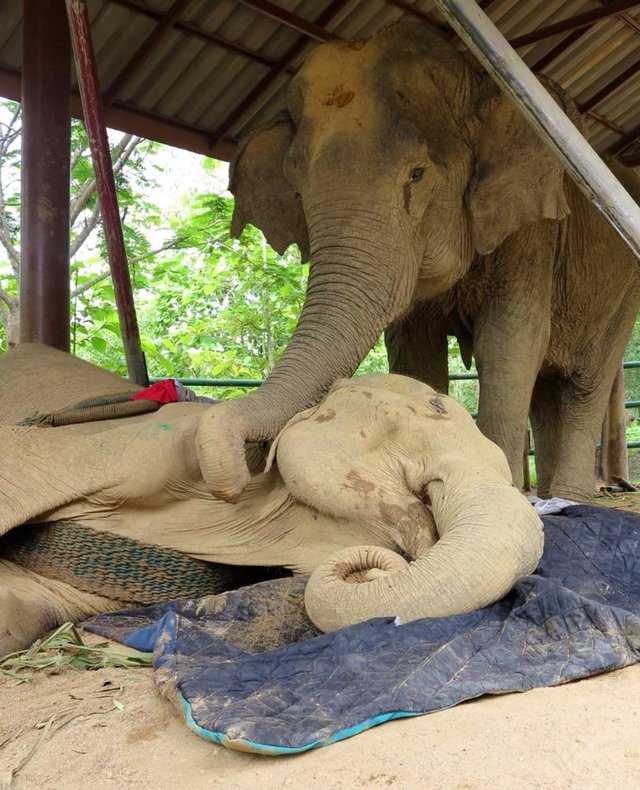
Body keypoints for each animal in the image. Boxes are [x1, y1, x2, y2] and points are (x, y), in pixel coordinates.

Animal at [201, 18, 640, 504]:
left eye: (417, 173)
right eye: (297, 189)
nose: (249, 463)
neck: (475, 78)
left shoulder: (531, 231)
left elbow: (511, 338)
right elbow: (412, 346)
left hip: (624, 289)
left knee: (585, 384)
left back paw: (572, 498)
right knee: (546, 392)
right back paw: (550, 496)